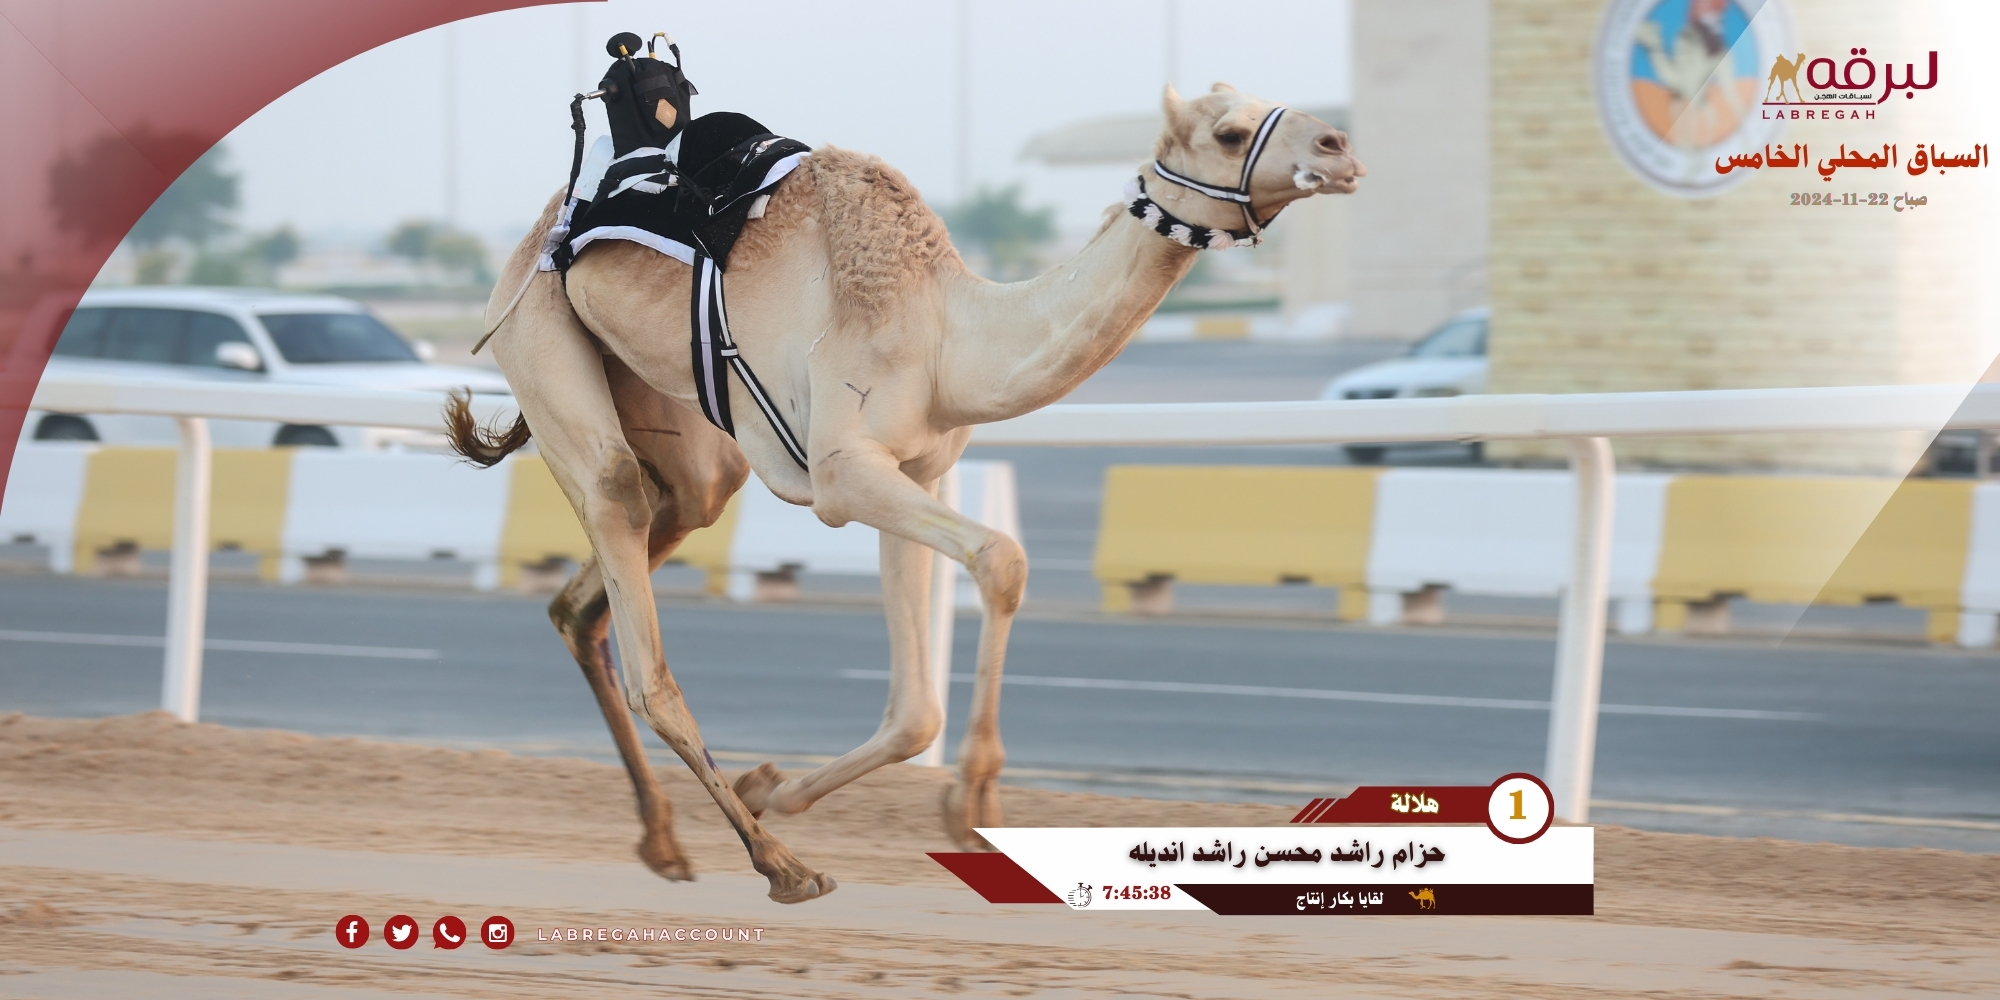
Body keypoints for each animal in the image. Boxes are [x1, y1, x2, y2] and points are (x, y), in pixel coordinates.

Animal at [450, 82, 1360, 904]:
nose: (1340, 148)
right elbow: (1002, 558)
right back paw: (781, 867)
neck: (947, 329)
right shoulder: (843, 471)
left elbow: (918, 707)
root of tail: (534, 235)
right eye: (1230, 129)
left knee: (608, 578)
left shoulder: (915, 467)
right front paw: (972, 804)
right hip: (538, 334)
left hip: (673, 417)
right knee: (630, 577)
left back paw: (667, 841)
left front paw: (773, 786)